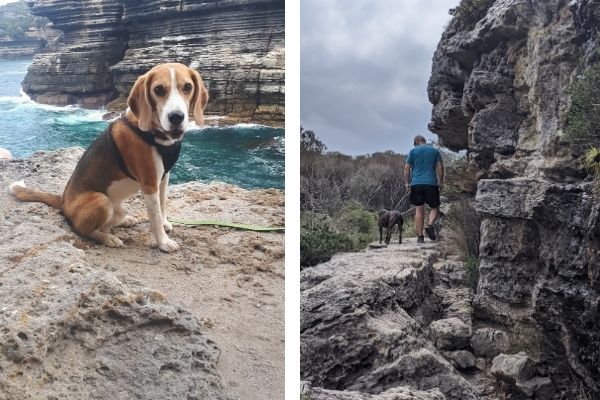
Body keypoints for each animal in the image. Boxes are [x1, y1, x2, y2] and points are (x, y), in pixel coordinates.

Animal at [8, 63, 211, 253]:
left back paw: (124, 221)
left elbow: (162, 205)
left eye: (187, 87)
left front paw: (166, 223)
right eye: (158, 89)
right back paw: (108, 238)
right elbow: (154, 216)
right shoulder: (149, 184)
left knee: (111, 220)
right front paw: (163, 242)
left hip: (117, 206)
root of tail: (63, 201)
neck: (154, 134)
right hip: (101, 200)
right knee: (82, 229)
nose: (176, 117)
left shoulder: (163, 178)